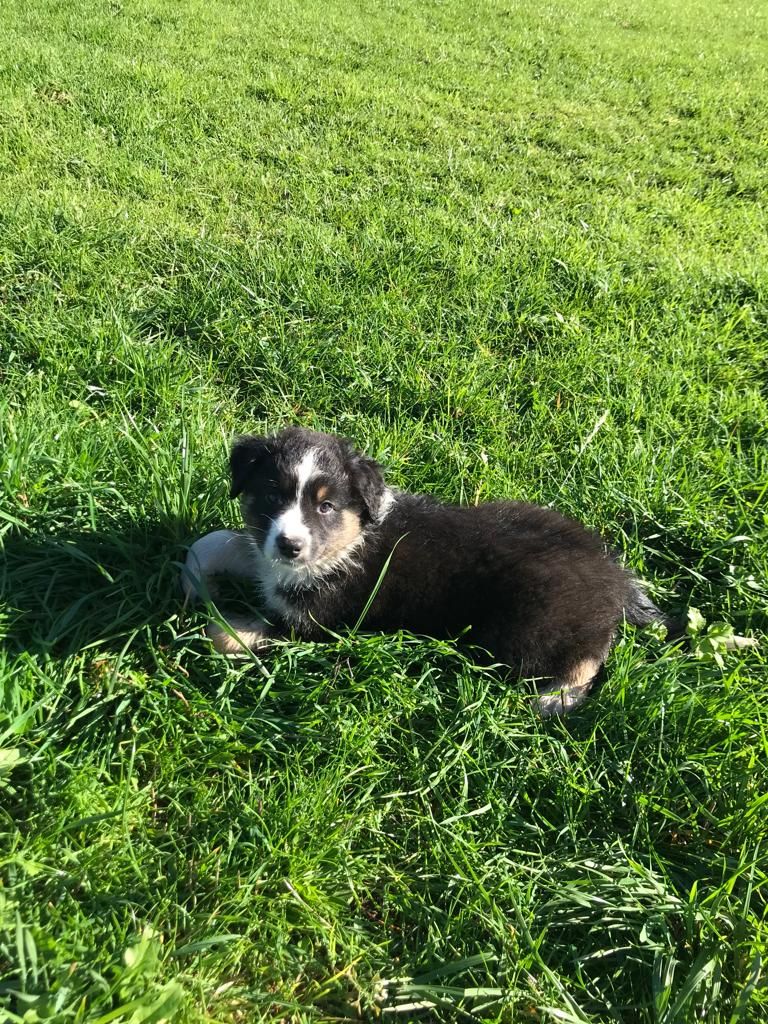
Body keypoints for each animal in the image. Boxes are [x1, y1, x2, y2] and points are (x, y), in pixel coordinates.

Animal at [182, 426, 683, 715]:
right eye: (272, 496)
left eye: (325, 507)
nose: (290, 545)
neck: (352, 539)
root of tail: (613, 576)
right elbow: (220, 542)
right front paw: (195, 573)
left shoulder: (319, 622)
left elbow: (224, 633)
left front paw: (208, 622)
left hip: (528, 625)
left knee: (587, 656)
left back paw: (555, 699)